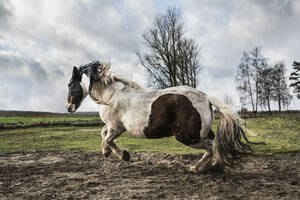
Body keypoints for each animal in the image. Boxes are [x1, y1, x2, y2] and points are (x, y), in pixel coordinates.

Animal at [66, 60, 253, 173]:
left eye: (70, 84)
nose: (69, 107)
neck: (111, 95)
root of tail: (206, 97)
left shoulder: (116, 127)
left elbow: (108, 138)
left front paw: (123, 155)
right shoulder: (113, 126)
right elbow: (103, 134)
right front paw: (105, 152)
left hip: (187, 136)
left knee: (211, 147)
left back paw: (196, 168)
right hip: (202, 132)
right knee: (215, 144)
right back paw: (213, 165)